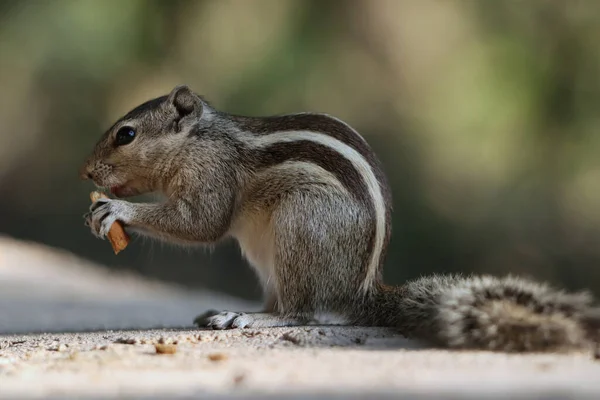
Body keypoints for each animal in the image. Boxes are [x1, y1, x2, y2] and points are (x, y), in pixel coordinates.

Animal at [81, 84, 600, 354]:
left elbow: (201, 223)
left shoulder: (213, 174)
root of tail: (360, 291)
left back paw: (246, 316)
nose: (86, 172)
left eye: (126, 134)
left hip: (301, 224)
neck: (198, 140)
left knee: (301, 312)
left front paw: (116, 210)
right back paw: (226, 313)